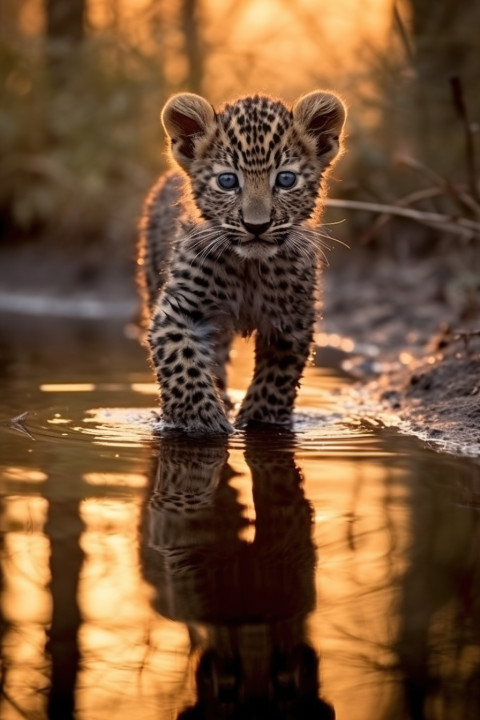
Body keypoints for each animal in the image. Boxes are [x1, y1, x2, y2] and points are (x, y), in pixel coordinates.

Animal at [137, 90, 346, 433]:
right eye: (227, 181)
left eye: (286, 179)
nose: (256, 225)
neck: (250, 268)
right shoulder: (180, 309)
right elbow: (181, 361)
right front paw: (199, 420)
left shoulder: (292, 318)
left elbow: (278, 377)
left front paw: (261, 420)